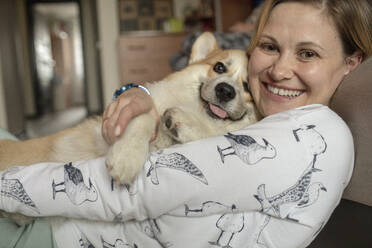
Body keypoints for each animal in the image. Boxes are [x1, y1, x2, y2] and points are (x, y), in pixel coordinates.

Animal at [0, 32, 258, 185]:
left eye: (248, 86)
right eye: (219, 67)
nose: (225, 91)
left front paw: (181, 123)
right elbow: (144, 118)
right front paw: (127, 157)